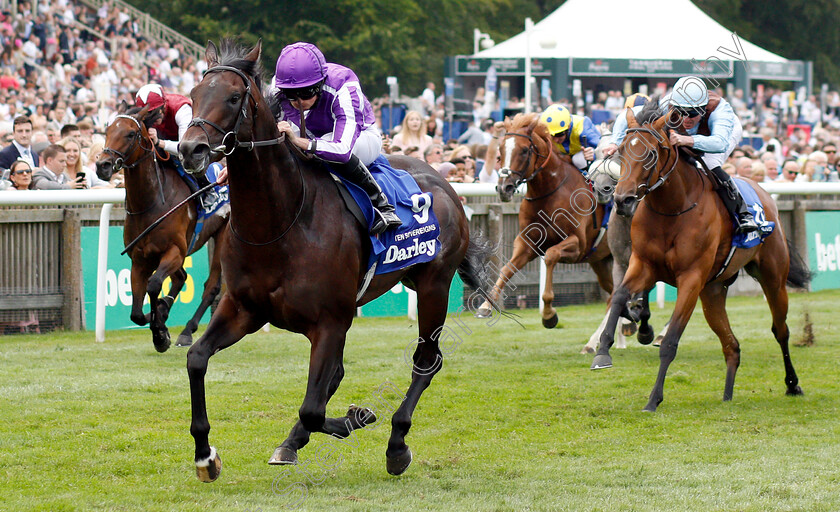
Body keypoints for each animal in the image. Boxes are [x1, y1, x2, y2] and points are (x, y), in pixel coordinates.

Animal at [95, 105, 228, 352]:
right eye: (107, 130)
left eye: (130, 134)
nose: (102, 165)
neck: (151, 203)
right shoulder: (140, 260)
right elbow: (136, 314)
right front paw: (158, 321)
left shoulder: (174, 251)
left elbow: (155, 284)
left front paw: (159, 331)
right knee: (181, 277)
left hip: (223, 234)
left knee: (211, 286)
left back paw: (186, 331)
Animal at [177, 41, 492, 484]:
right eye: (192, 95)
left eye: (234, 97)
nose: (190, 150)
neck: (279, 223)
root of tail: (444, 183)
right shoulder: (244, 309)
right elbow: (196, 359)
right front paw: (206, 456)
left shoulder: (330, 322)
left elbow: (312, 408)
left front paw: (352, 420)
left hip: (434, 286)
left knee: (426, 362)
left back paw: (397, 445)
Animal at [480, 112, 612, 328]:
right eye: (500, 150)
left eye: (524, 150)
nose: (504, 188)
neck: (549, 192)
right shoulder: (527, 242)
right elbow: (506, 269)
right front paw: (486, 305)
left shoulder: (577, 244)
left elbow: (550, 256)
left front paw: (549, 314)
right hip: (601, 260)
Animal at [588, 104, 812, 412]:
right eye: (621, 150)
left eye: (650, 153)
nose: (622, 199)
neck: (672, 208)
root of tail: (767, 197)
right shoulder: (642, 265)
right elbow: (620, 296)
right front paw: (603, 351)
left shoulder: (691, 279)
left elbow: (670, 341)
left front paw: (653, 399)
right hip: (713, 292)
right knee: (732, 345)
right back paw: (727, 396)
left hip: (773, 279)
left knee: (781, 330)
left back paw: (793, 384)